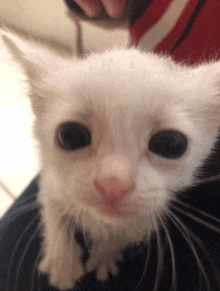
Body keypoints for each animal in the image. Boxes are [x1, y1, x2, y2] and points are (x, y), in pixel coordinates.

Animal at [2, 30, 220, 290]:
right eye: (70, 136)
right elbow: (54, 212)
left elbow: (125, 234)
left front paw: (104, 254)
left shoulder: (148, 216)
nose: (113, 183)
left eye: (171, 144)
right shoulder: (52, 182)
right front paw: (63, 260)